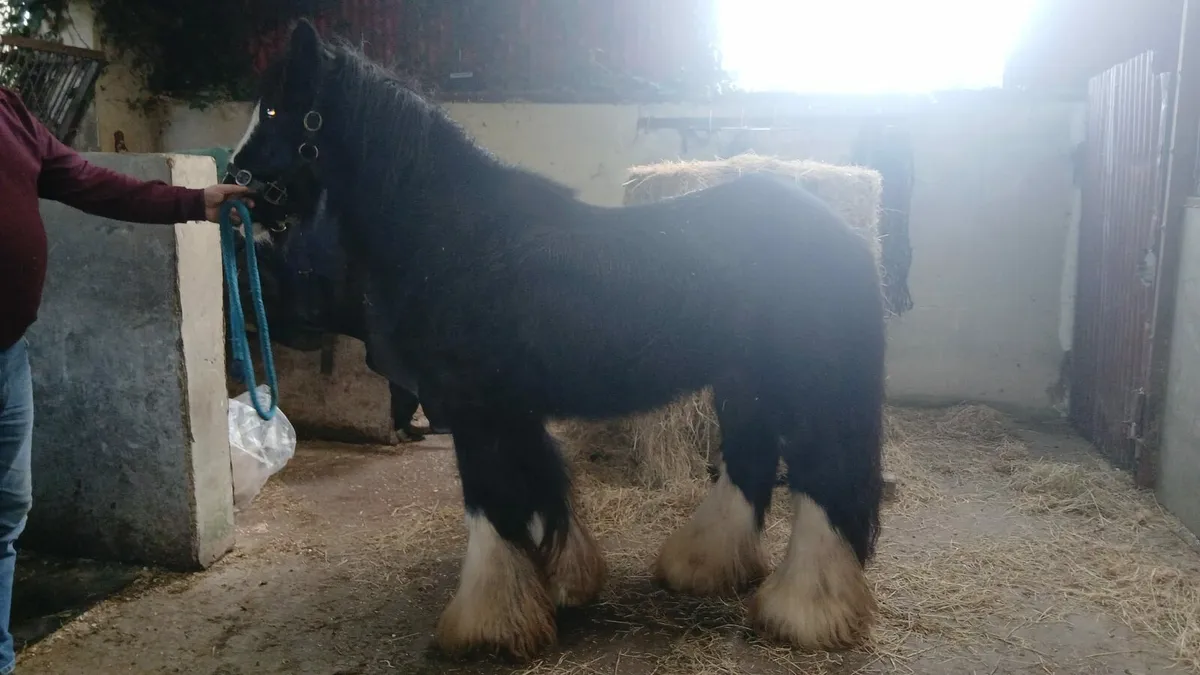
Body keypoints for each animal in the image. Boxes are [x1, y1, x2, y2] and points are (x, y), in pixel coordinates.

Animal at [228, 19, 887, 660]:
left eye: (275, 110)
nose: (233, 188)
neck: (458, 238)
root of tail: (843, 232)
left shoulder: (475, 411)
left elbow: (492, 507)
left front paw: (487, 627)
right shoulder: (511, 410)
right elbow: (543, 491)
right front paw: (565, 585)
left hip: (807, 387)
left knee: (821, 480)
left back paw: (803, 612)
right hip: (743, 382)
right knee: (750, 464)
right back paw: (704, 567)